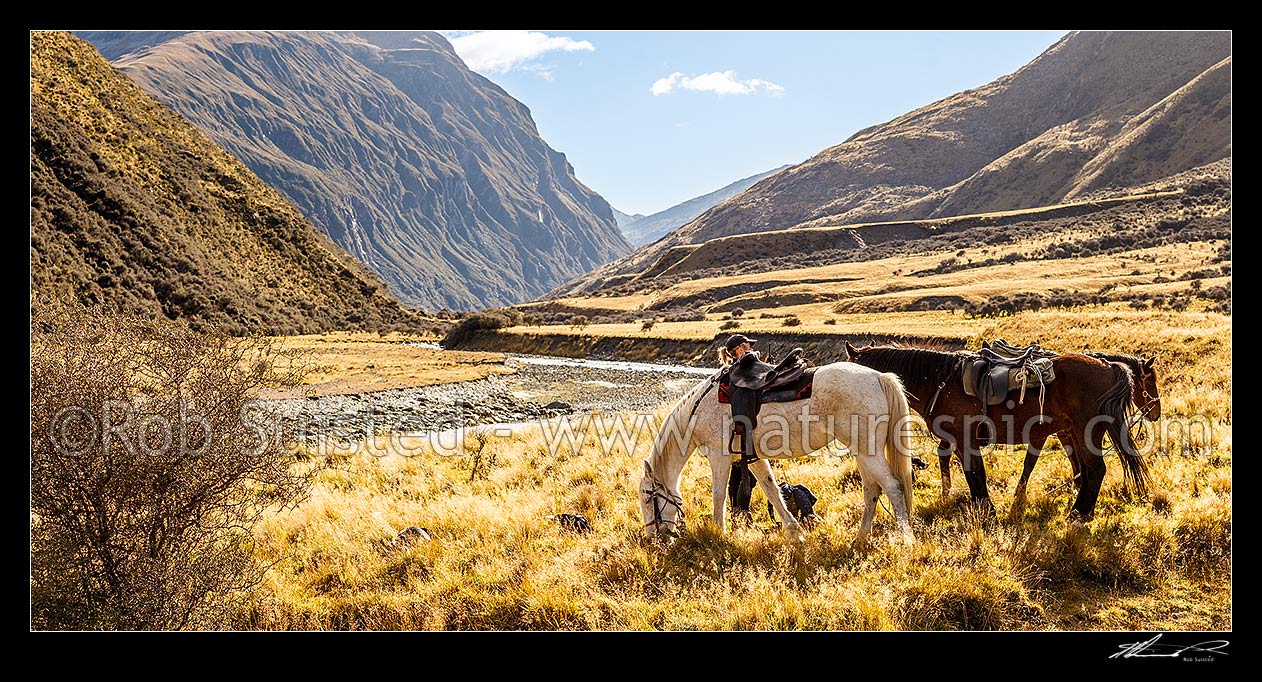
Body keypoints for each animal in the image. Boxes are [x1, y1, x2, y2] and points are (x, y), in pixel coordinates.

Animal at [641, 361, 918, 548]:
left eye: (648, 498)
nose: (652, 539)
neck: (697, 411)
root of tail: (879, 377)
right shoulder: (754, 459)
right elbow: (772, 491)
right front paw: (795, 533)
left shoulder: (719, 458)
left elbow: (718, 496)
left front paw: (719, 533)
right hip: (863, 452)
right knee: (872, 489)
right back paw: (860, 538)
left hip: (867, 451)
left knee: (892, 487)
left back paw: (906, 538)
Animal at [843, 341, 1150, 522]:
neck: (938, 381)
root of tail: (1109, 366)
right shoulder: (959, 442)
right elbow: (973, 475)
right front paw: (982, 508)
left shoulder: (965, 440)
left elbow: (976, 475)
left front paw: (986, 511)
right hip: (1076, 432)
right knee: (1086, 470)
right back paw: (1082, 510)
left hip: (1086, 431)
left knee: (1095, 469)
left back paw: (1078, 514)